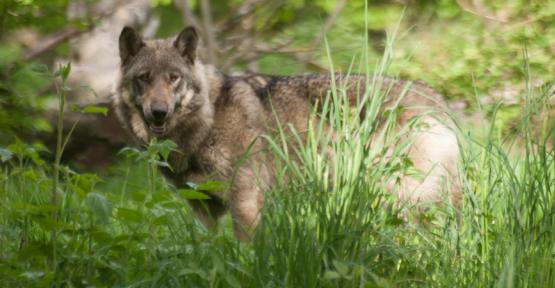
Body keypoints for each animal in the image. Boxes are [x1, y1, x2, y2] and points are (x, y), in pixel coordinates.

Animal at [114, 26, 460, 238]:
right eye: (144, 78)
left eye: (173, 78)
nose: (158, 112)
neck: (207, 121)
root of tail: (435, 97)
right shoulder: (202, 208)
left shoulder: (246, 202)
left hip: (407, 201)